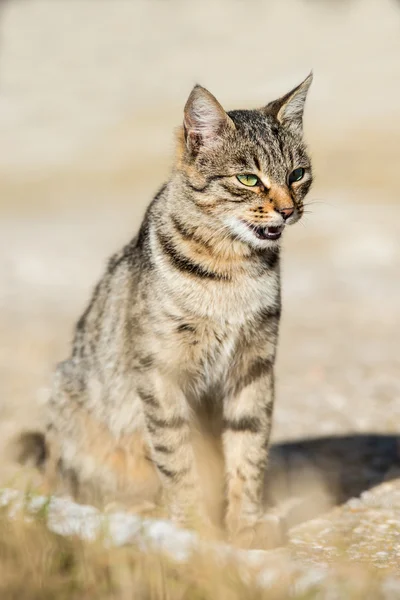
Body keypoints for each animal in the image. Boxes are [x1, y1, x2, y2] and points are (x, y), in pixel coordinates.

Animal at [18, 72, 312, 548]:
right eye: (248, 179)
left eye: (297, 174)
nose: (288, 210)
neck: (233, 270)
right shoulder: (161, 370)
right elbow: (177, 457)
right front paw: (195, 529)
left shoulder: (254, 366)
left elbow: (248, 452)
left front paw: (245, 525)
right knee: (75, 487)